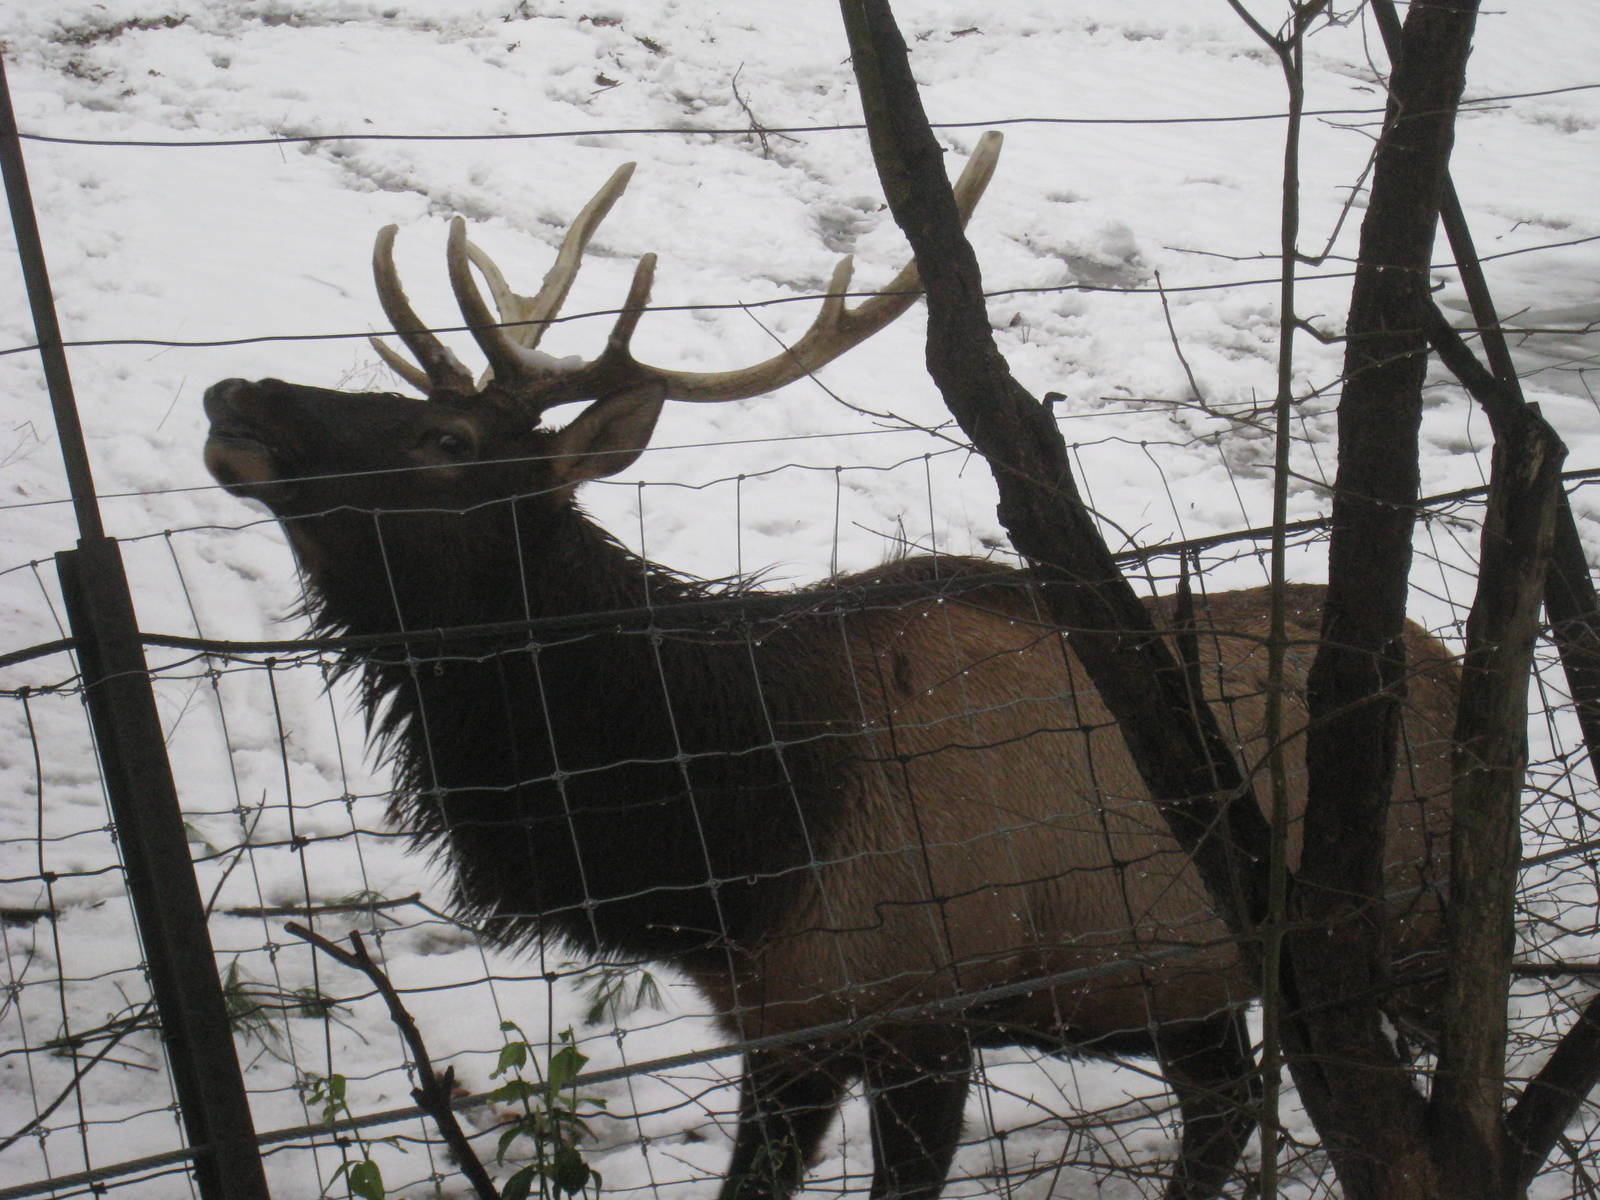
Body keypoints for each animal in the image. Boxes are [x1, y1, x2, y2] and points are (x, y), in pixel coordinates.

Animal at [202, 133, 1457, 1200]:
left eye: (444, 441)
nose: (236, 395)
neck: (731, 840)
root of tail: (1441, 655)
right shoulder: (783, 1025)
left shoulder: (921, 1013)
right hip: (1176, 975)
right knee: (1225, 1103)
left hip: (1400, 938)